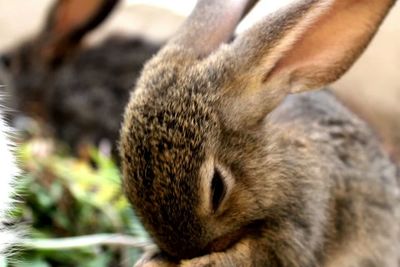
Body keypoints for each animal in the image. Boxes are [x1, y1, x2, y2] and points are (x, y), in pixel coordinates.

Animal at [119, 0, 400, 266]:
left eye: (217, 187)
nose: (190, 252)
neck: (272, 169)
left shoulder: (302, 223)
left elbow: (261, 255)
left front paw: (203, 262)